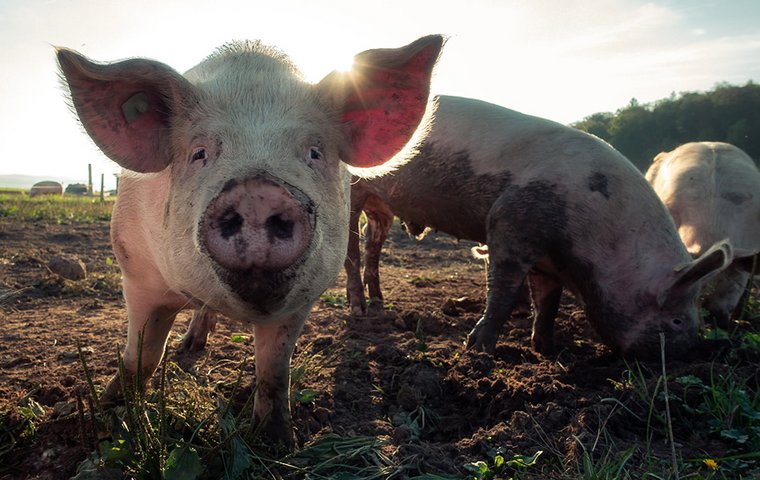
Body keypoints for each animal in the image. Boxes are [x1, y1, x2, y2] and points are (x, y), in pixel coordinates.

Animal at [59, 34, 442, 446]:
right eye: (199, 153)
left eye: (314, 152)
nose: (258, 192)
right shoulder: (136, 271)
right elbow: (141, 356)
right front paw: (109, 418)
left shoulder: (302, 299)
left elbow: (274, 371)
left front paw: (278, 442)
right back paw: (189, 346)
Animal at [342, 95, 732, 360]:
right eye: (677, 321)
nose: (689, 355)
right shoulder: (510, 223)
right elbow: (502, 291)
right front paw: (476, 351)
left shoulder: (549, 262)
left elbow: (548, 302)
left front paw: (547, 350)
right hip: (353, 192)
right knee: (350, 249)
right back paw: (359, 310)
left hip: (382, 207)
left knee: (371, 244)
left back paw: (379, 303)